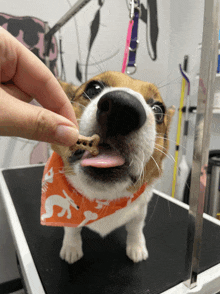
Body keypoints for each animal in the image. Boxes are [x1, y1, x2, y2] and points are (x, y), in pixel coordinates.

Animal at [45, 71, 174, 264]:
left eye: (158, 110)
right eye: (94, 88)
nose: (122, 108)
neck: (102, 199)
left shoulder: (140, 211)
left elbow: (136, 228)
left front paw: (136, 247)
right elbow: (72, 228)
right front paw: (71, 247)